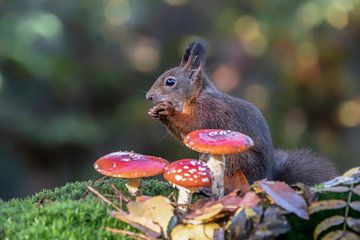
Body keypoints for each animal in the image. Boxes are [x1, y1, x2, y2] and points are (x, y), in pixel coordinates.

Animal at [145, 39, 336, 187]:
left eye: (170, 82)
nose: (149, 97)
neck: (196, 96)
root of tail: (264, 178)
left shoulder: (209, 110)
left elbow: (194, 124)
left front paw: (168, 111)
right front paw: (156, 112)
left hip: (235, 161)